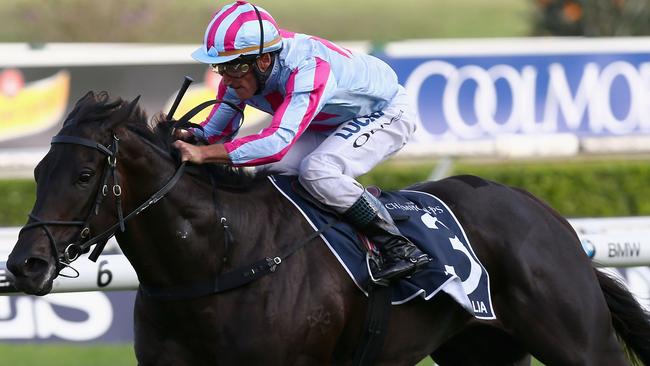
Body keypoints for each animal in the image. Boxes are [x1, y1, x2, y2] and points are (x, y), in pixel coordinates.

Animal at [5, 91, 648, 366]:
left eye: (84, 173)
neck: (218, 258)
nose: (24, 264)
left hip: (579, 343)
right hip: (481, 353)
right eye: (36, 171)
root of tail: (550, 217)